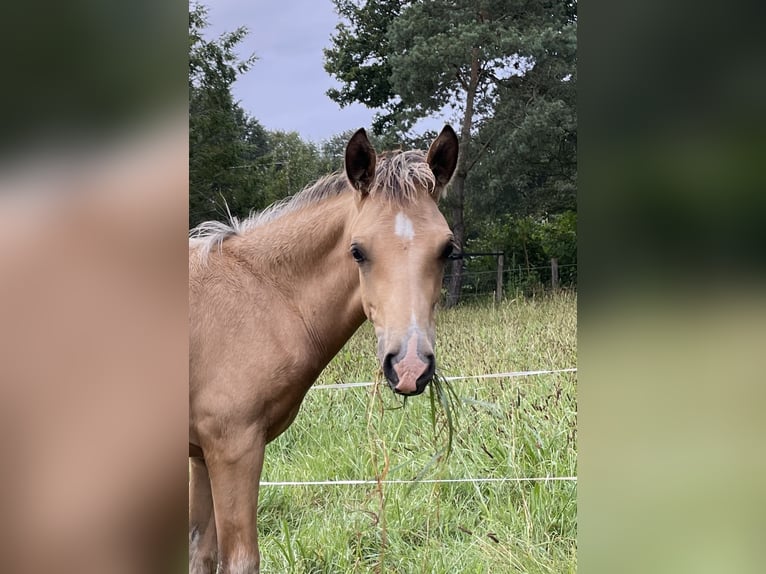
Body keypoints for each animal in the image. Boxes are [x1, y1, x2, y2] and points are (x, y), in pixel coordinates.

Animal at [189, 127, 460, 574]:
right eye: (357, 250)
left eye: (447, 249)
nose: (409, 367)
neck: (260, 296)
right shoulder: (234, 448)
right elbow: (240, 560)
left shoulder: (200, 455)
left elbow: (201, 553)